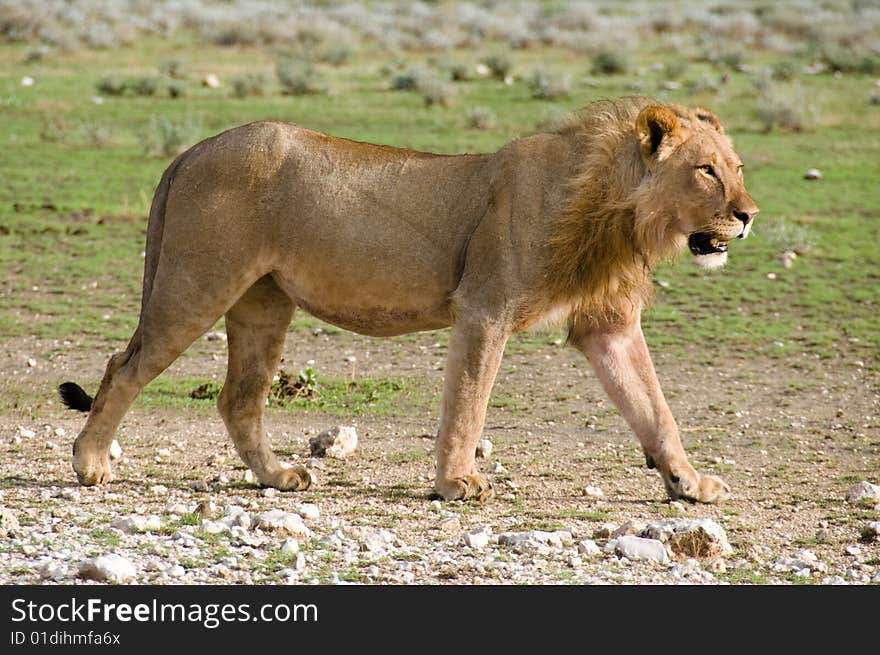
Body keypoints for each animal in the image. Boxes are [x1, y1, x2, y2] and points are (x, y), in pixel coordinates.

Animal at [58, 97, 756, 504]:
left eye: (737, 167)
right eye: (706, 171)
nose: (748, 215)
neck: (615, 210)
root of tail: (189, 150)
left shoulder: (607, 325)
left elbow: (655, 409)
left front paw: (688, 482)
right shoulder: (484, 308)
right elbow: (468, 403)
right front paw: (456, 483)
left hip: (263, 303)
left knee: (238, 399)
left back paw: (279, 476)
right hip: (196, 285)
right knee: (125, 368)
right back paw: (90, 464)